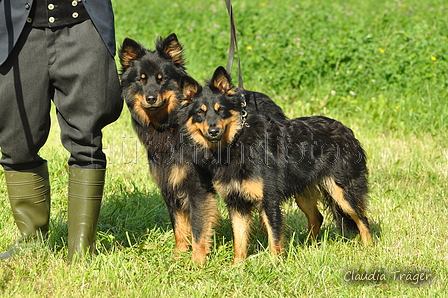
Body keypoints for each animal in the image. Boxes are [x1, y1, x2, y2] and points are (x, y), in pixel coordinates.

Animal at [178, 67, 372, 264]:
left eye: (221, 110)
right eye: (200, 112)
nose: (213, 131)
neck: (236, 142)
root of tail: (347, 131)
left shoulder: (268, 200)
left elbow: (274, 237)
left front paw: (275, 263)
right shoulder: (236, 203)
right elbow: (239, 240)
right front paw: (237, 266)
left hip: (343, 193)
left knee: (362, 219)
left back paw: (368, 248)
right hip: (303, 193)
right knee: (317, 218)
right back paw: (309, 246)